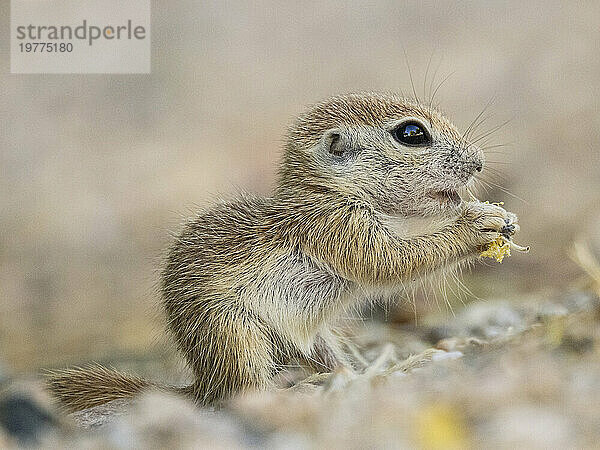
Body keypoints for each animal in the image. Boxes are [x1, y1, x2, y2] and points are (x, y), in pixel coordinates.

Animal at [47, 91, 520, 412]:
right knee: (241, 393)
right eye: (411, 134)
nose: (479, 162)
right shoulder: (334, 226)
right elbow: (390, 262)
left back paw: (371, 371)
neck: (329, 191)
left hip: (313, 338)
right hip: (234, 336)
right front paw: (477, 226)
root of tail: (201, 384)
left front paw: (496, 217)